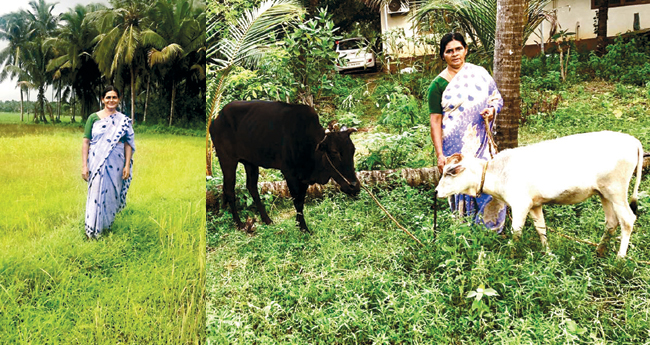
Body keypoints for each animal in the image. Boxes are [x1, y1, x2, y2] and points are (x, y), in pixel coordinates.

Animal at [210, 101, 360, 232]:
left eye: (353, 150)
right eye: (334, 152)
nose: (355, 186)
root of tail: (216, 119)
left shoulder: (303, 177)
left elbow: (301, 200)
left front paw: (299, 224)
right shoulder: (289, 173)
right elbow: (297, 201)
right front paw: (304, 228)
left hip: (250, 162)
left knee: (252, 187)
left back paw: (267, 220)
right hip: (227, 160)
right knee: (229, 190)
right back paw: (239, 224)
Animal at [432, 132, 640, 258]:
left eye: (450, 172)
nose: (436, 191)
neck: (498, 172)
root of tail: (632, 141)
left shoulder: (520, 205)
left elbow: (516, 232)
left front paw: (511, 255)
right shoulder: (535, 205)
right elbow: (541, 229)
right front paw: (548, 254)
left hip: (617, 191)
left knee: (628, 220)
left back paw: (620, 258)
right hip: (604, 194)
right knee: (611, 223)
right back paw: (599, 251)